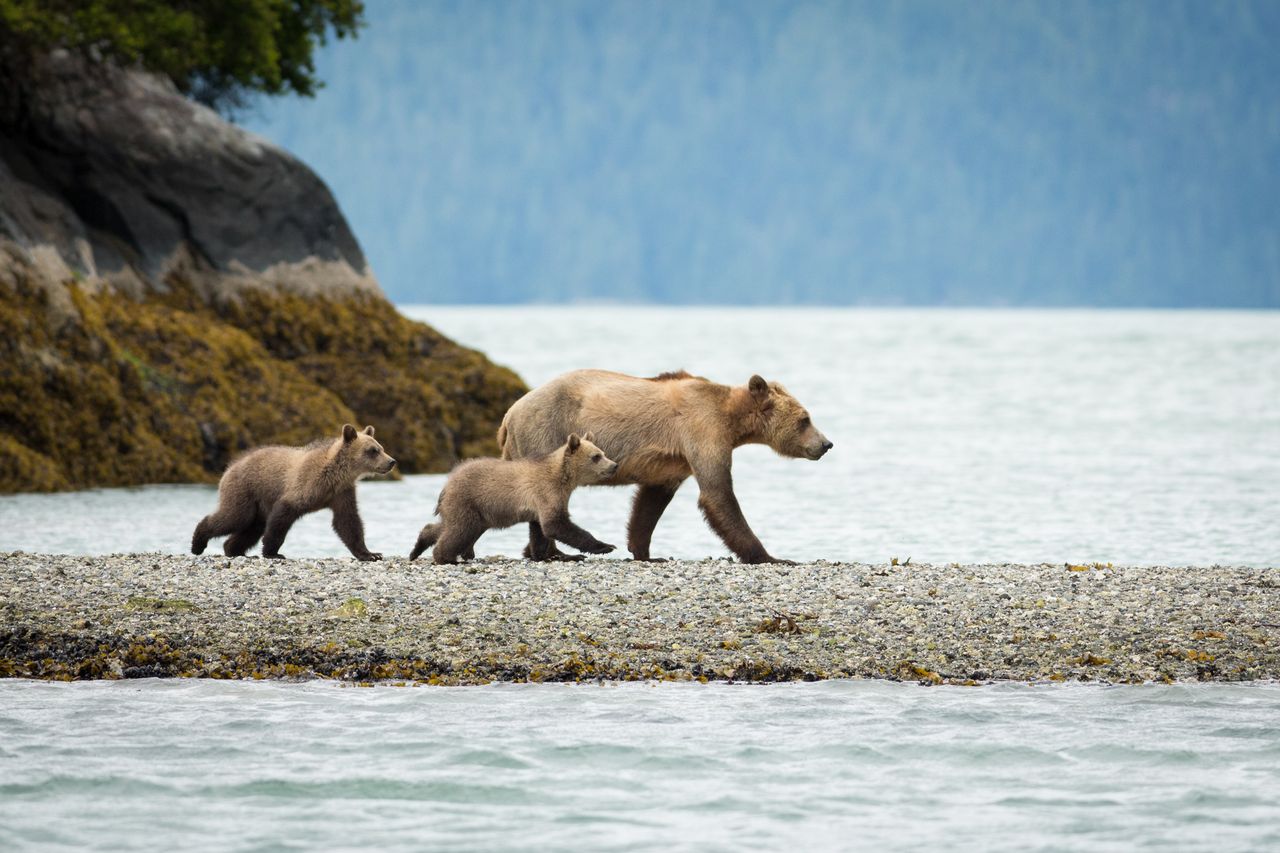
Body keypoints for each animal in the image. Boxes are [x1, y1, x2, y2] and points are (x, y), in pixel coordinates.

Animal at [494, 366, 834, 560]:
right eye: (805, 419)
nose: (826, 444)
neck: (733, 420)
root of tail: (509, 415)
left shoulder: (675, 460)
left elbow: (651, 502)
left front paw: (644, 552)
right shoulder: (703, 431)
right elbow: (718, 495)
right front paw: (771, 556)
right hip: (547, 431)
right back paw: (553, 553)